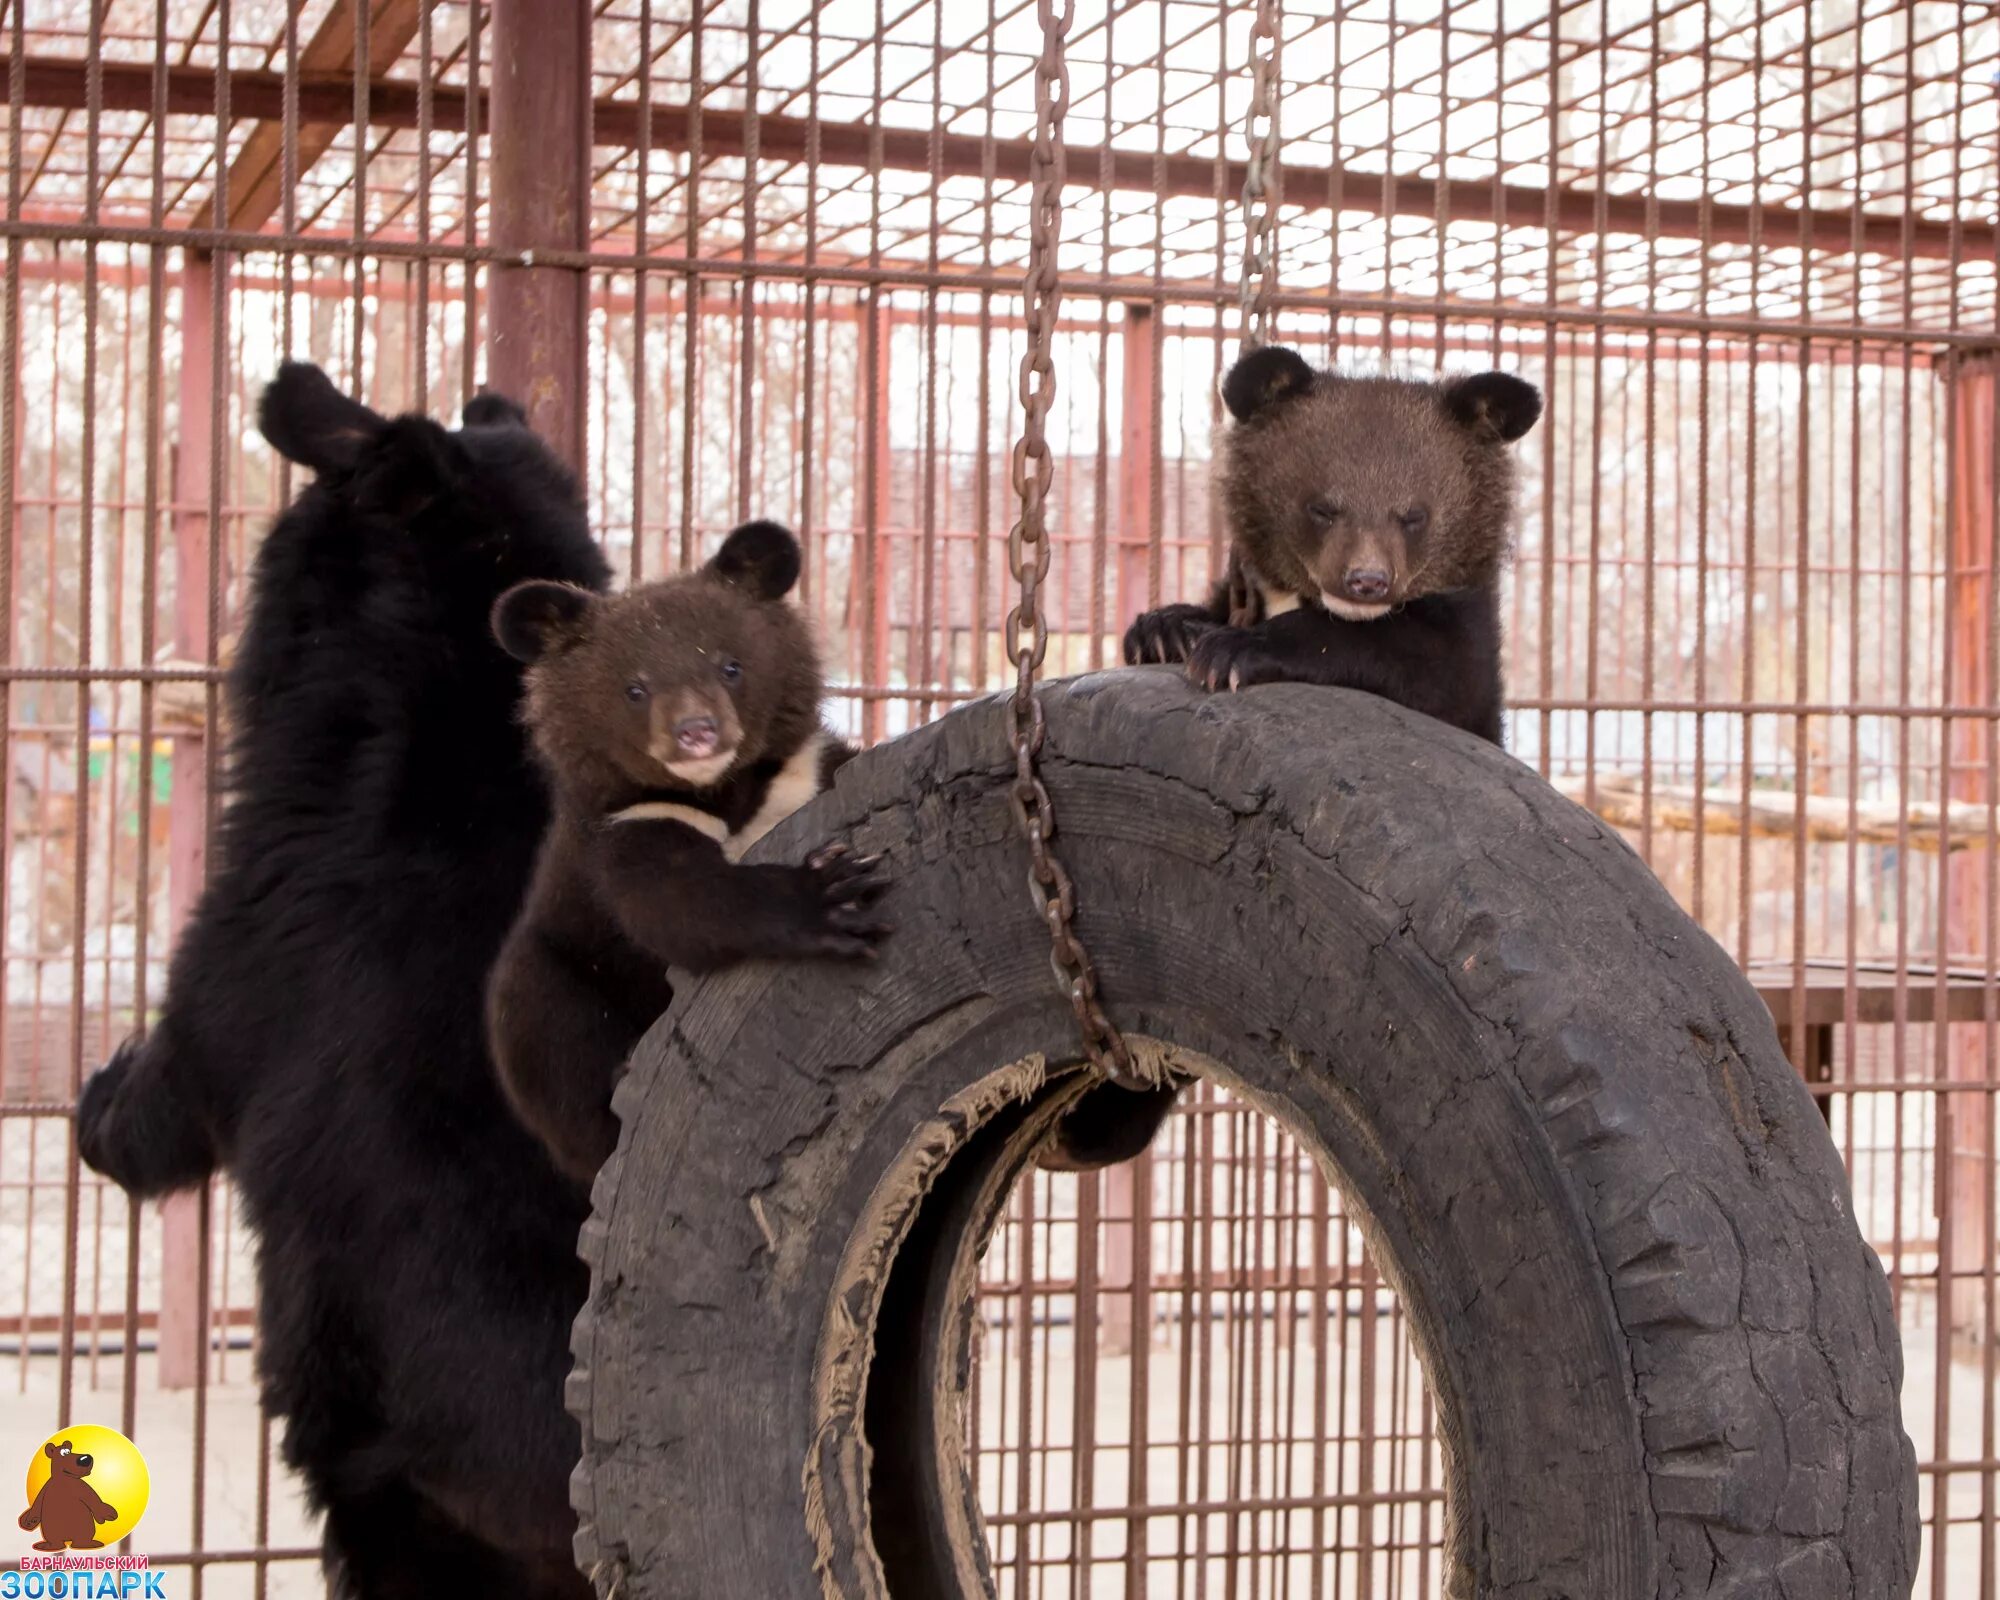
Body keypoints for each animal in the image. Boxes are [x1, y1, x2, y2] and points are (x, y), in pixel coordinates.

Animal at [484, 520, 892, 1184]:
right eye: (634, 689)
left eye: (730, 667)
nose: (697, 732)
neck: (723, 792)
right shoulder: (623, 823)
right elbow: (678, 903)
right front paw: (833, 896)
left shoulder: (804, 770)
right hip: (548, 985)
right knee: (548, 1040)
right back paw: (619, 1088)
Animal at [1120, 344, 1536, 744]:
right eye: (1321, 509)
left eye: (1414, 516)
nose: (1367, 581)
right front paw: (1163, 631)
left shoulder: (1466, 624)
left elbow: (1437, 667)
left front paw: (1228, 652)